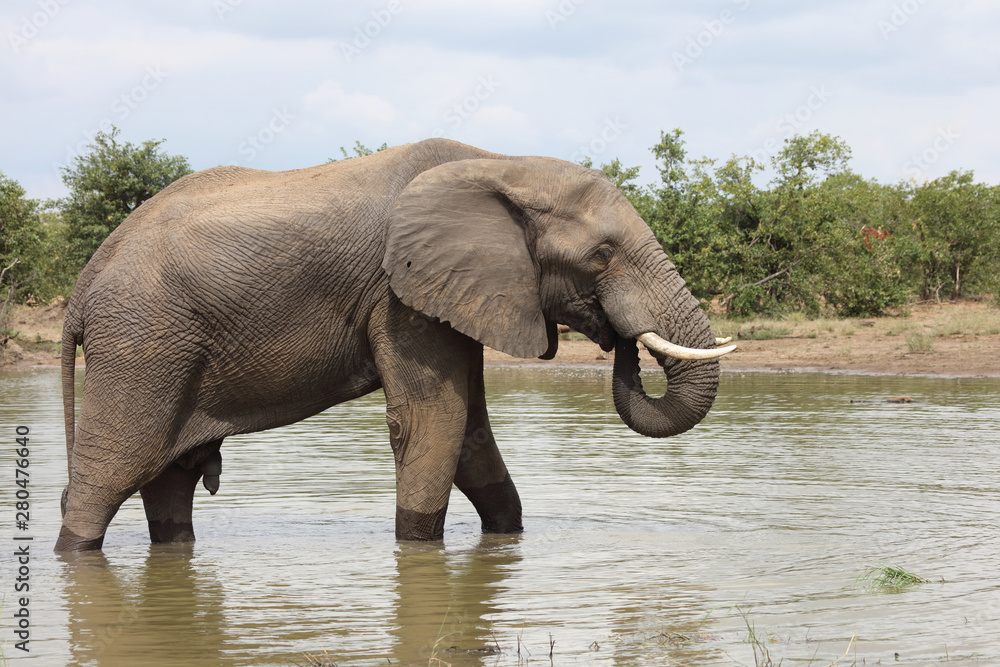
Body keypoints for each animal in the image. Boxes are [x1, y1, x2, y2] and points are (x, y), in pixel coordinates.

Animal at [55, 138, 734, 552]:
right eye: (601, 255)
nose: (616, 337)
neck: (499, 162)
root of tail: (82, 287)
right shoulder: (401, 293)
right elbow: (435, 420)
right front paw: (419, 549)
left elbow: (469, 431)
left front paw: (505, 542)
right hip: (143, 343)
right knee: (108, 476)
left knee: (167, 478)